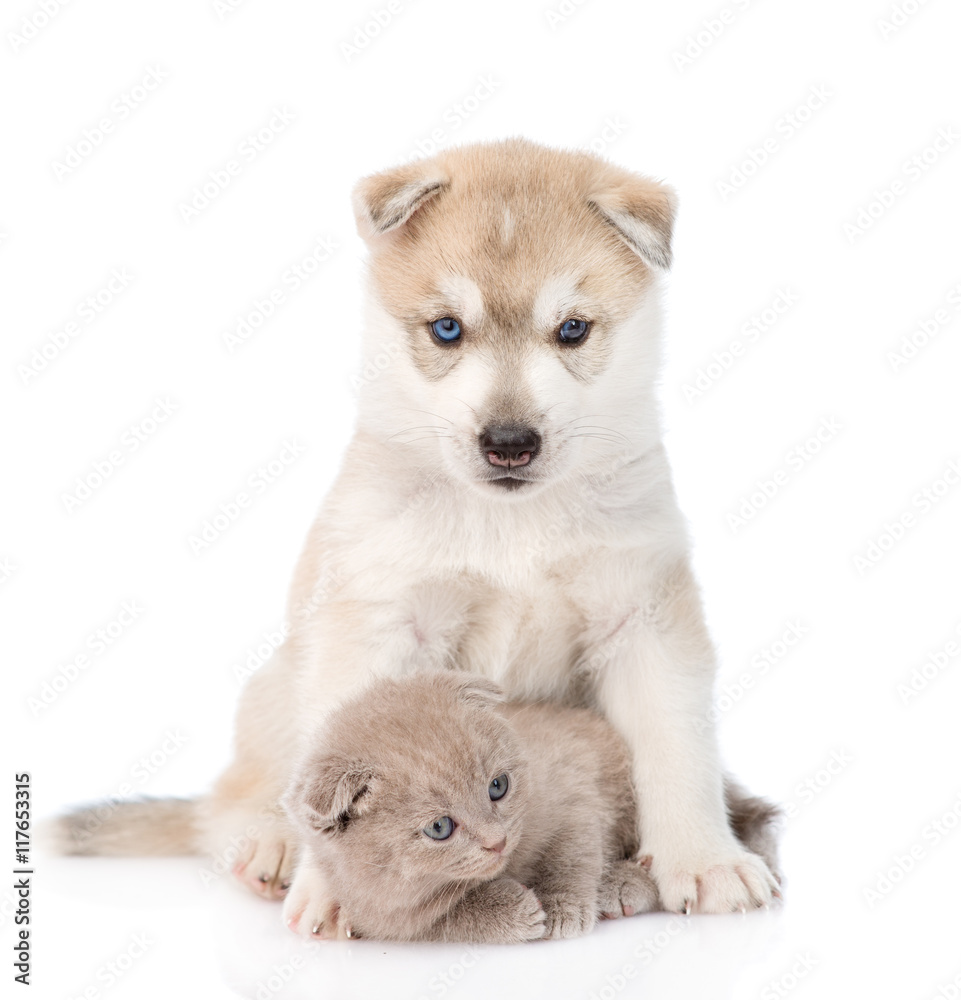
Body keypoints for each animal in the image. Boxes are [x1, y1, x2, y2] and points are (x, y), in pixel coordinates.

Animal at [284, 672, 780, 944]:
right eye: (440, 827)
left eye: (497, 787)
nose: (497, 841)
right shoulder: (387, 917)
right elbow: (448, 919)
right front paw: (513, 913)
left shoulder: (573, 797)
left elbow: (570, 856)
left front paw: (561, 910)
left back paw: (620, 886)